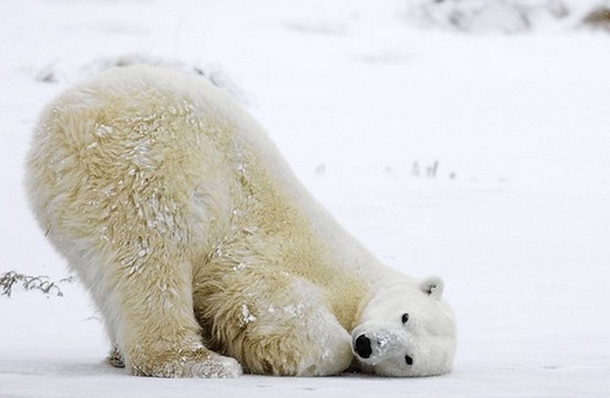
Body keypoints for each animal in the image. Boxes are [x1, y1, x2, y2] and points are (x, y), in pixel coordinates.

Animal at [27, 64, 456, 376]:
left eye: (409, 358)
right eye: (404, 316)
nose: (367, 344)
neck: (358, 286)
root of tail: (57, 124)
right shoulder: (282, 261)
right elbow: (283, 312)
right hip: (143, 171)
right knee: (154, 262)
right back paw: (201, 362)